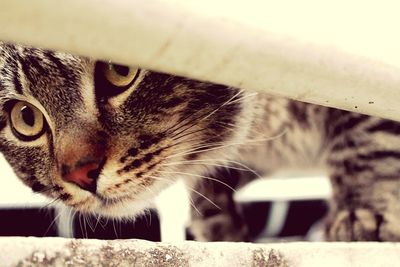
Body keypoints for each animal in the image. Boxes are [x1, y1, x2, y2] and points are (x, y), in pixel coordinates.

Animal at [0, 42, 400, 243]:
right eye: (26, 118)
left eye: (120, 69)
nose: (80, 174)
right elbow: (210, 177)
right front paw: (216, 219)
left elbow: (364, 142)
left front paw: (362, 213)